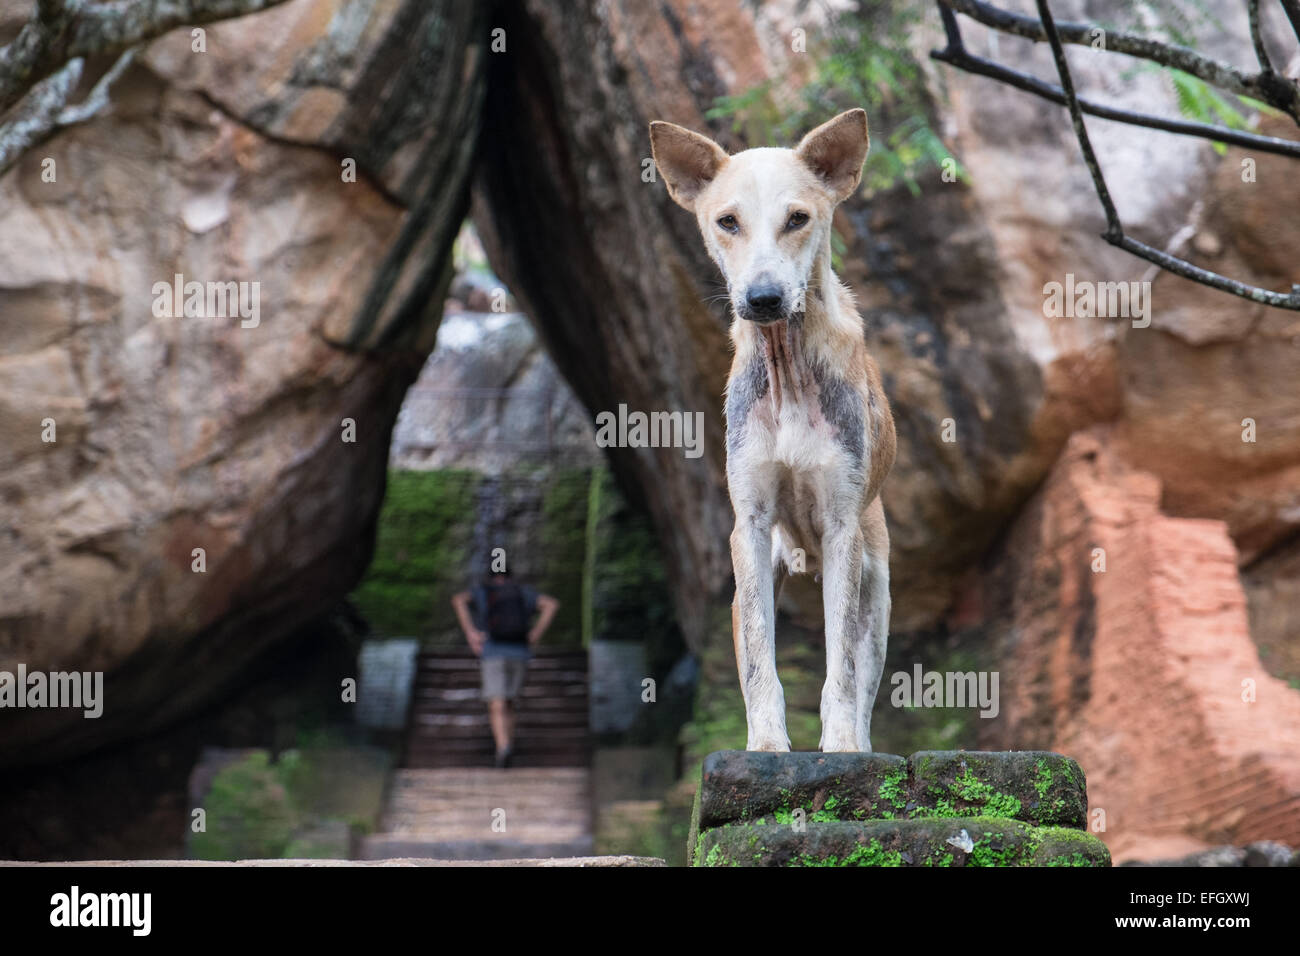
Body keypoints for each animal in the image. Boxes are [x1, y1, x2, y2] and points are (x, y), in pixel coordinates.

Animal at [650, 108, 894, 749]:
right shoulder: (751, 526)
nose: (762, 298)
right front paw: (765, 745)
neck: (788, 376)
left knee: (864, 677)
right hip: (748, 584)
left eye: (798, 219)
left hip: (876, 590)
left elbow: (841, 668)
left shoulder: (842, 529)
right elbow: (761, 662)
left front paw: (840, 748)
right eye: (727, 222)